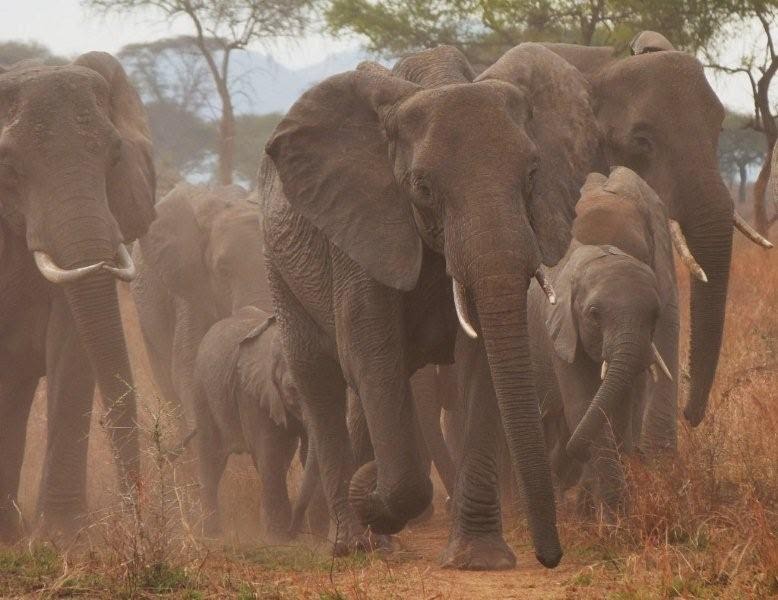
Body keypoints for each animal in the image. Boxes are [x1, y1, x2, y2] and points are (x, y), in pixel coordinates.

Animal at [193, 306, 324, 540]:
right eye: (292, 389)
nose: (295, 530)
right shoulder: (251, 392)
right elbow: (270, 453)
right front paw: (279, 538)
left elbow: (306, 450)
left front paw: (317, 536)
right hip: (202, 393)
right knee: (212, 459)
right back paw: (212, 534)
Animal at [259, 43, 602, 569]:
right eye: (421, 187)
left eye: (532, 175)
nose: (550, 558)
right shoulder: (365, 225)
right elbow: (371, 355)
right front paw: (371, 490)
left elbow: (480, 363)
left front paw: (479, 560)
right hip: (280, 265)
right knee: (320, 378)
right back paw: (354, 543)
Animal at [529, 167, 676, 515]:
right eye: (594, 314)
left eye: (654, 315)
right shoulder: (562, 335)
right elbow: (584, 405)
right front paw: (615, 520)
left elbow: (615, 411)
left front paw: (618, 517)